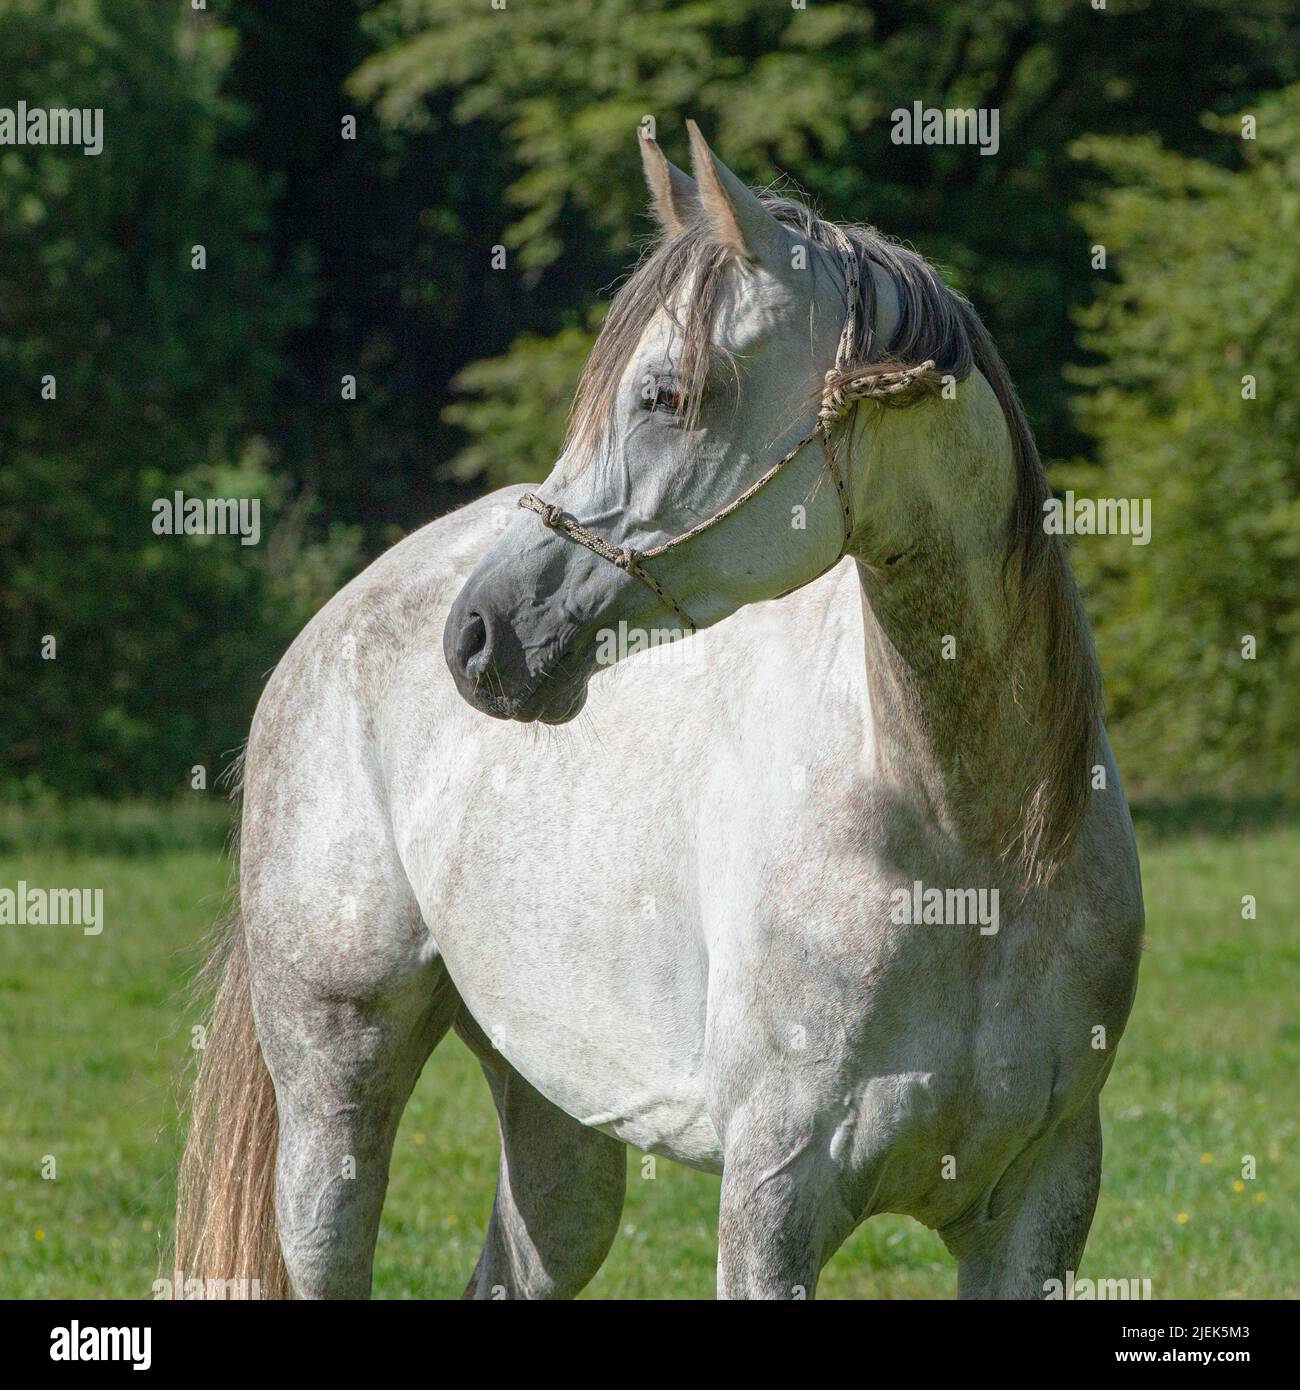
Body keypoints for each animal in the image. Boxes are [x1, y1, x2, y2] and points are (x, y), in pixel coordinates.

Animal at [177, 125, 1145, 1295]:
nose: (477, 635)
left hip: (552, 1116)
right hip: (334, 1096)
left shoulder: (1041, 1206)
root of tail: (330, 624)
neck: (970, 840)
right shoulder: (773, 1198)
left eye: (668, 395)